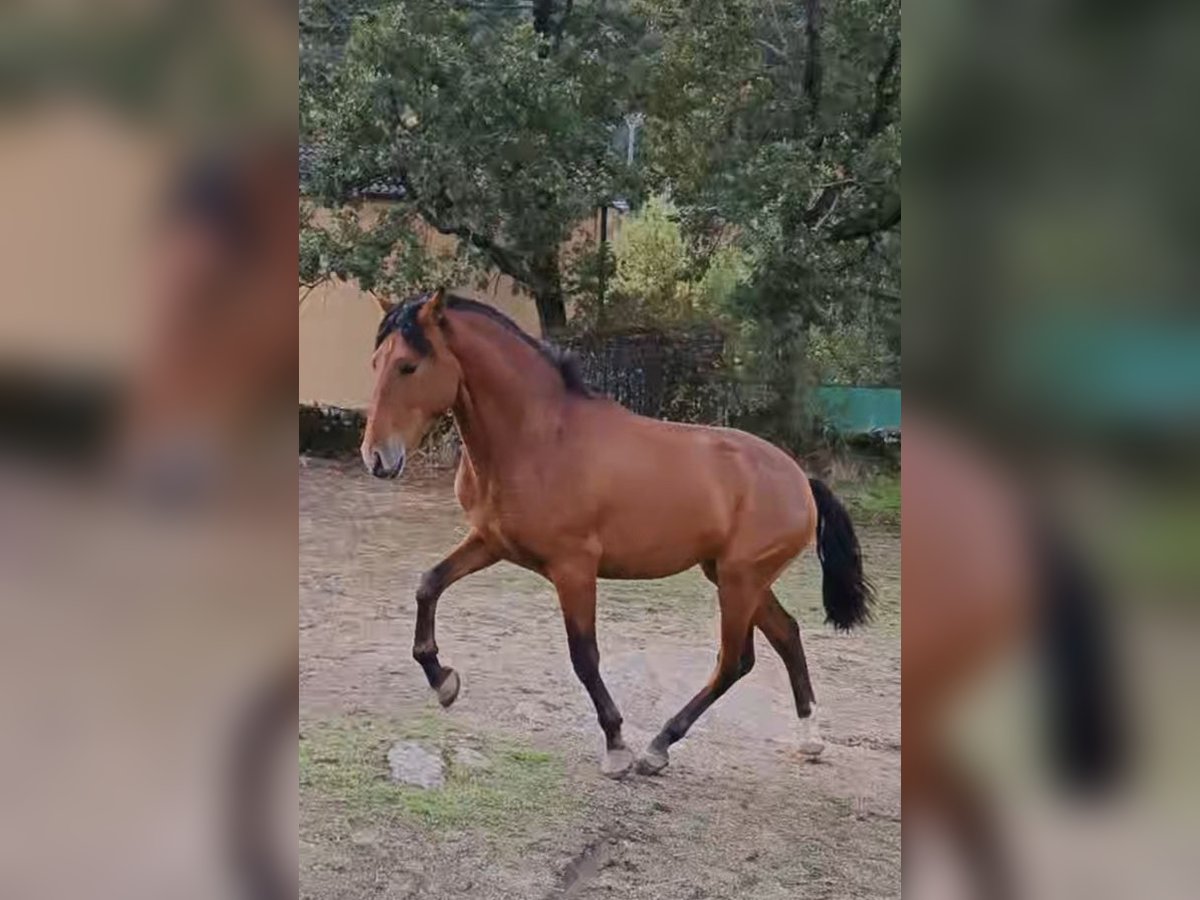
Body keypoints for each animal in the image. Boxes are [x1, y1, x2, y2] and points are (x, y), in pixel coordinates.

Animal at [355, 292, 873, 777]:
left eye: (409, 365)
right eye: (376, 362)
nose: (376, 457)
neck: (538, 439)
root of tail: (800, 479)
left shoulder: (574, 567)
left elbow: (584, 655)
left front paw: (616, 744)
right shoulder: (490, 542)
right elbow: (429, 584)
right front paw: (443, 680)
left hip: (739, 581)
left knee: (734, 661)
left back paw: (658, 746)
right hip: (732, 576)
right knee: (785, 633)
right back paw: (809, 738)